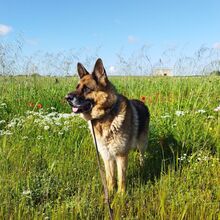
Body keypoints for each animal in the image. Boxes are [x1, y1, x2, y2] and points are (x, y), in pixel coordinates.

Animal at [65, 58, 150, 192]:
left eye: (86, 89)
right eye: (77, 87)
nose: (67, 98)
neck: (105, 115)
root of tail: (142, 102)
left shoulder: (121, 156)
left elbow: (121, 179)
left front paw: (121, 195)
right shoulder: (107, 157)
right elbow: (110, 178)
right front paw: (109, 193)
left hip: (142, 144)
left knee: (142, 156)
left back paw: (142, 166)